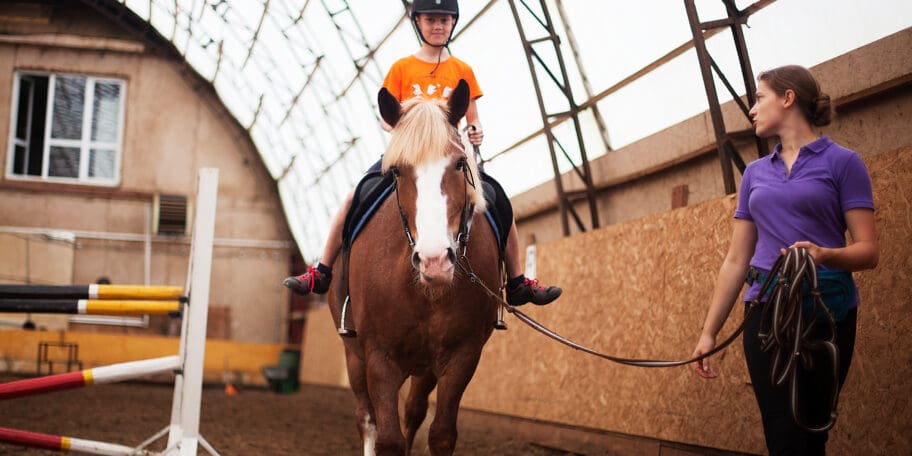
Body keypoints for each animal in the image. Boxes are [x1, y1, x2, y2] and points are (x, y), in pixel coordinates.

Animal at [328, 80, 498, 454]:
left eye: (460, 163)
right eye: (397, 171)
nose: (435, 261)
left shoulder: (462, 355)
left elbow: (441, 434)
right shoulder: (379, 356)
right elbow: (388, 438)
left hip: (425, 366)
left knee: (414, 411)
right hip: (354, 355)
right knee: (366, 418)